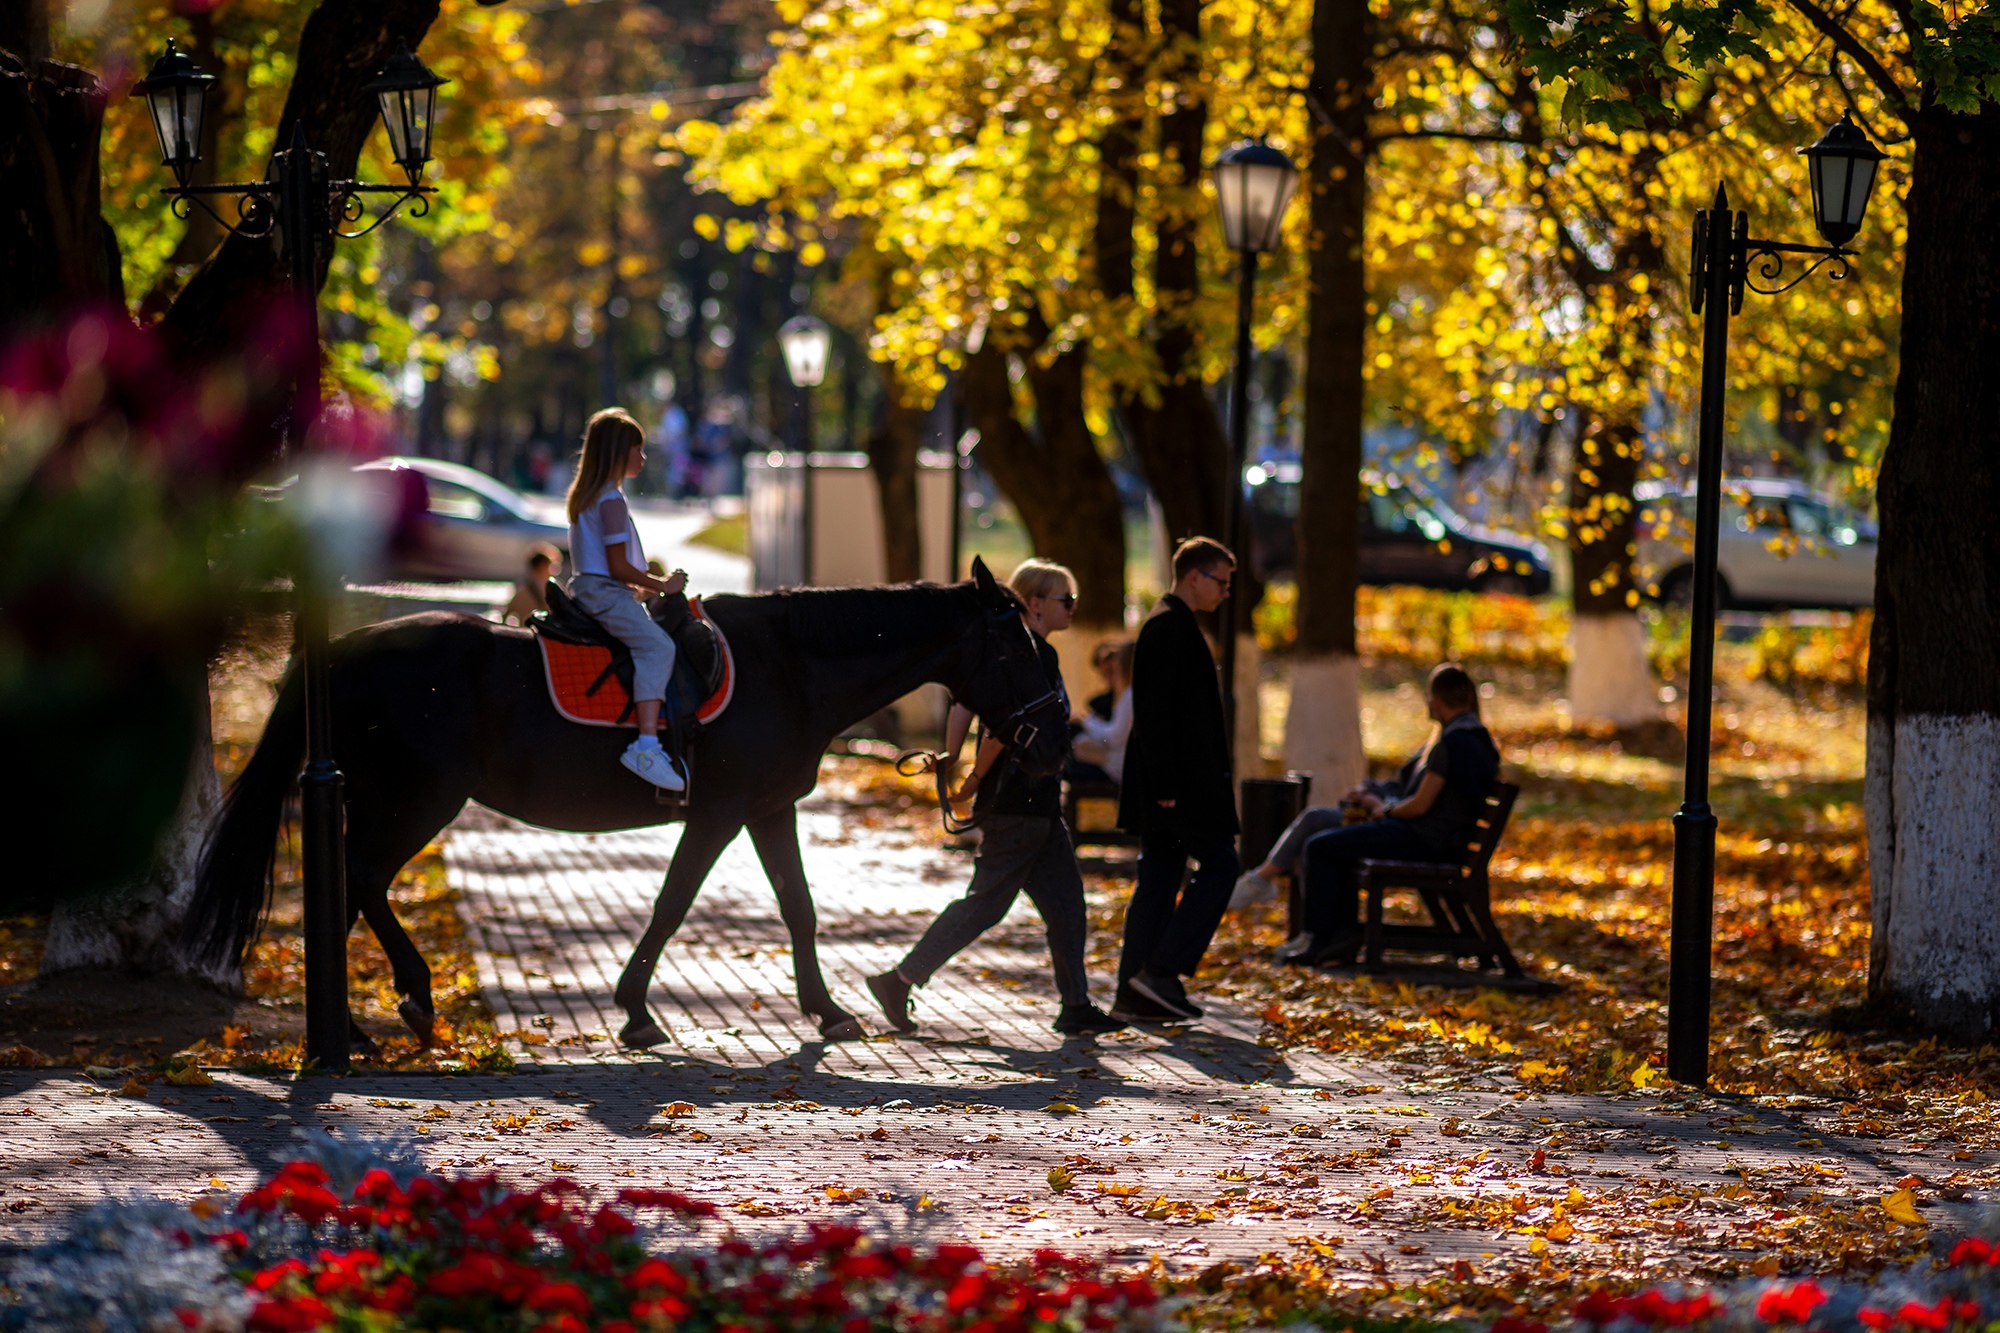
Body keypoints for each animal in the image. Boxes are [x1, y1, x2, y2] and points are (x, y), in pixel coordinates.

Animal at [180, 556, 1072, 1040]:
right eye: (1019, 643)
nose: (1058, 738)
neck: (788, 665)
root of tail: (344, 649)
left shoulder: (768, 809)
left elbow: (798, 907)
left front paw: (825, 1009)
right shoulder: (719, 813)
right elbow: (673, 903)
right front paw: (636, 1008)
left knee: (348, 886)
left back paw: (361, 1026)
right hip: (417, 800)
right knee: (362, 875)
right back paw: (408, 996)